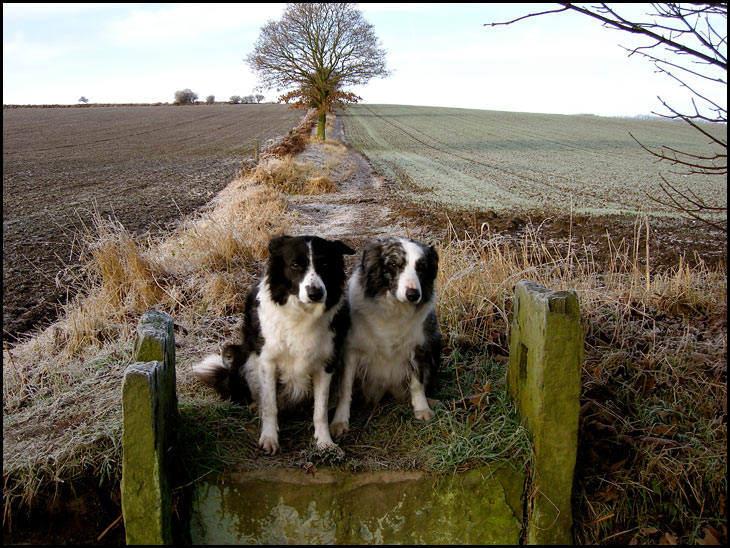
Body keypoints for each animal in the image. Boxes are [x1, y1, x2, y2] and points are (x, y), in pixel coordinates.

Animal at [192, 234, 354, 454]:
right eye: (295, 265)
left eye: (325, 264)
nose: (316, 293)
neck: (302, 313)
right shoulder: (268, 361)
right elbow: (270, 405)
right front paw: (269, 438)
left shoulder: (326, 363)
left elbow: (320, 410)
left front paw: (324, 442)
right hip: (243, 357)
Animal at [330, 235, 438, 436]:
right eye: (394, 265)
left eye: (421, 267)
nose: (413, 295)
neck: (393, 309)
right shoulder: (351, 351)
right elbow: (345, 388)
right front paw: (339, 421)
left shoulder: (418, 346)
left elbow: (417, 382)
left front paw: (422, 408)